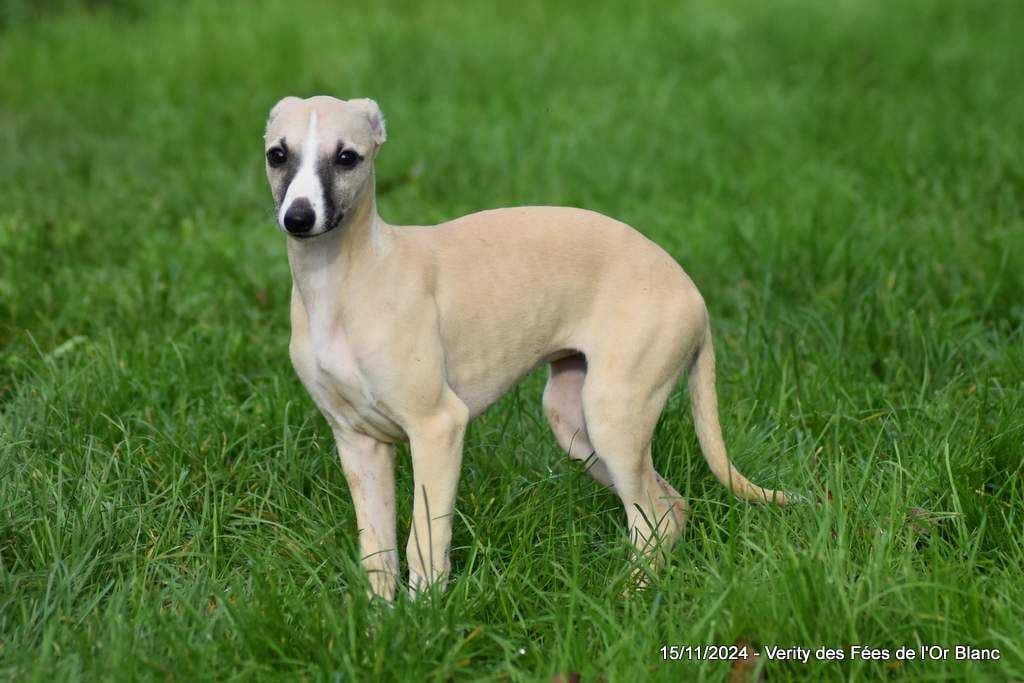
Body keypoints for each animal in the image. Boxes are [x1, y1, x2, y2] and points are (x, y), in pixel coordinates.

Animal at [262, 94, 782, 598]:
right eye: (277, 154)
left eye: (347, 157)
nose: (299, 218)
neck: (346, 279)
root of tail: (693, 293)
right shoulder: (358, 442)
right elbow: (378, 555)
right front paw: (381, 625)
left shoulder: (438, 427)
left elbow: (425, 542)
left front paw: (426, 618)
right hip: (575, 423)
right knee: (671, 508)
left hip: (614, 417)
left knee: (651, 519)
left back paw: (627, 598)